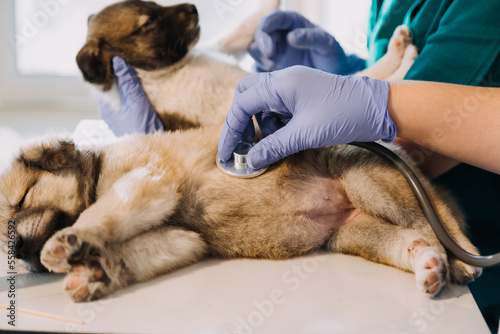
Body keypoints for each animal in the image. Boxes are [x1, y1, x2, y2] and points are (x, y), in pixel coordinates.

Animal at [0, 125, 480, 302]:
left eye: (22, 199)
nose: (19, 251)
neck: (98, 169)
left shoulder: (148, 182)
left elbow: (104, 213)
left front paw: (72, 241)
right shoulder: (181, 239)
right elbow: (127, 254)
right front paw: (95, 272)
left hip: (369, 181)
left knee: (434, 219)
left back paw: (460, 259)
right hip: (354, 233)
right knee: (414, 239)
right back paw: (429, 266)